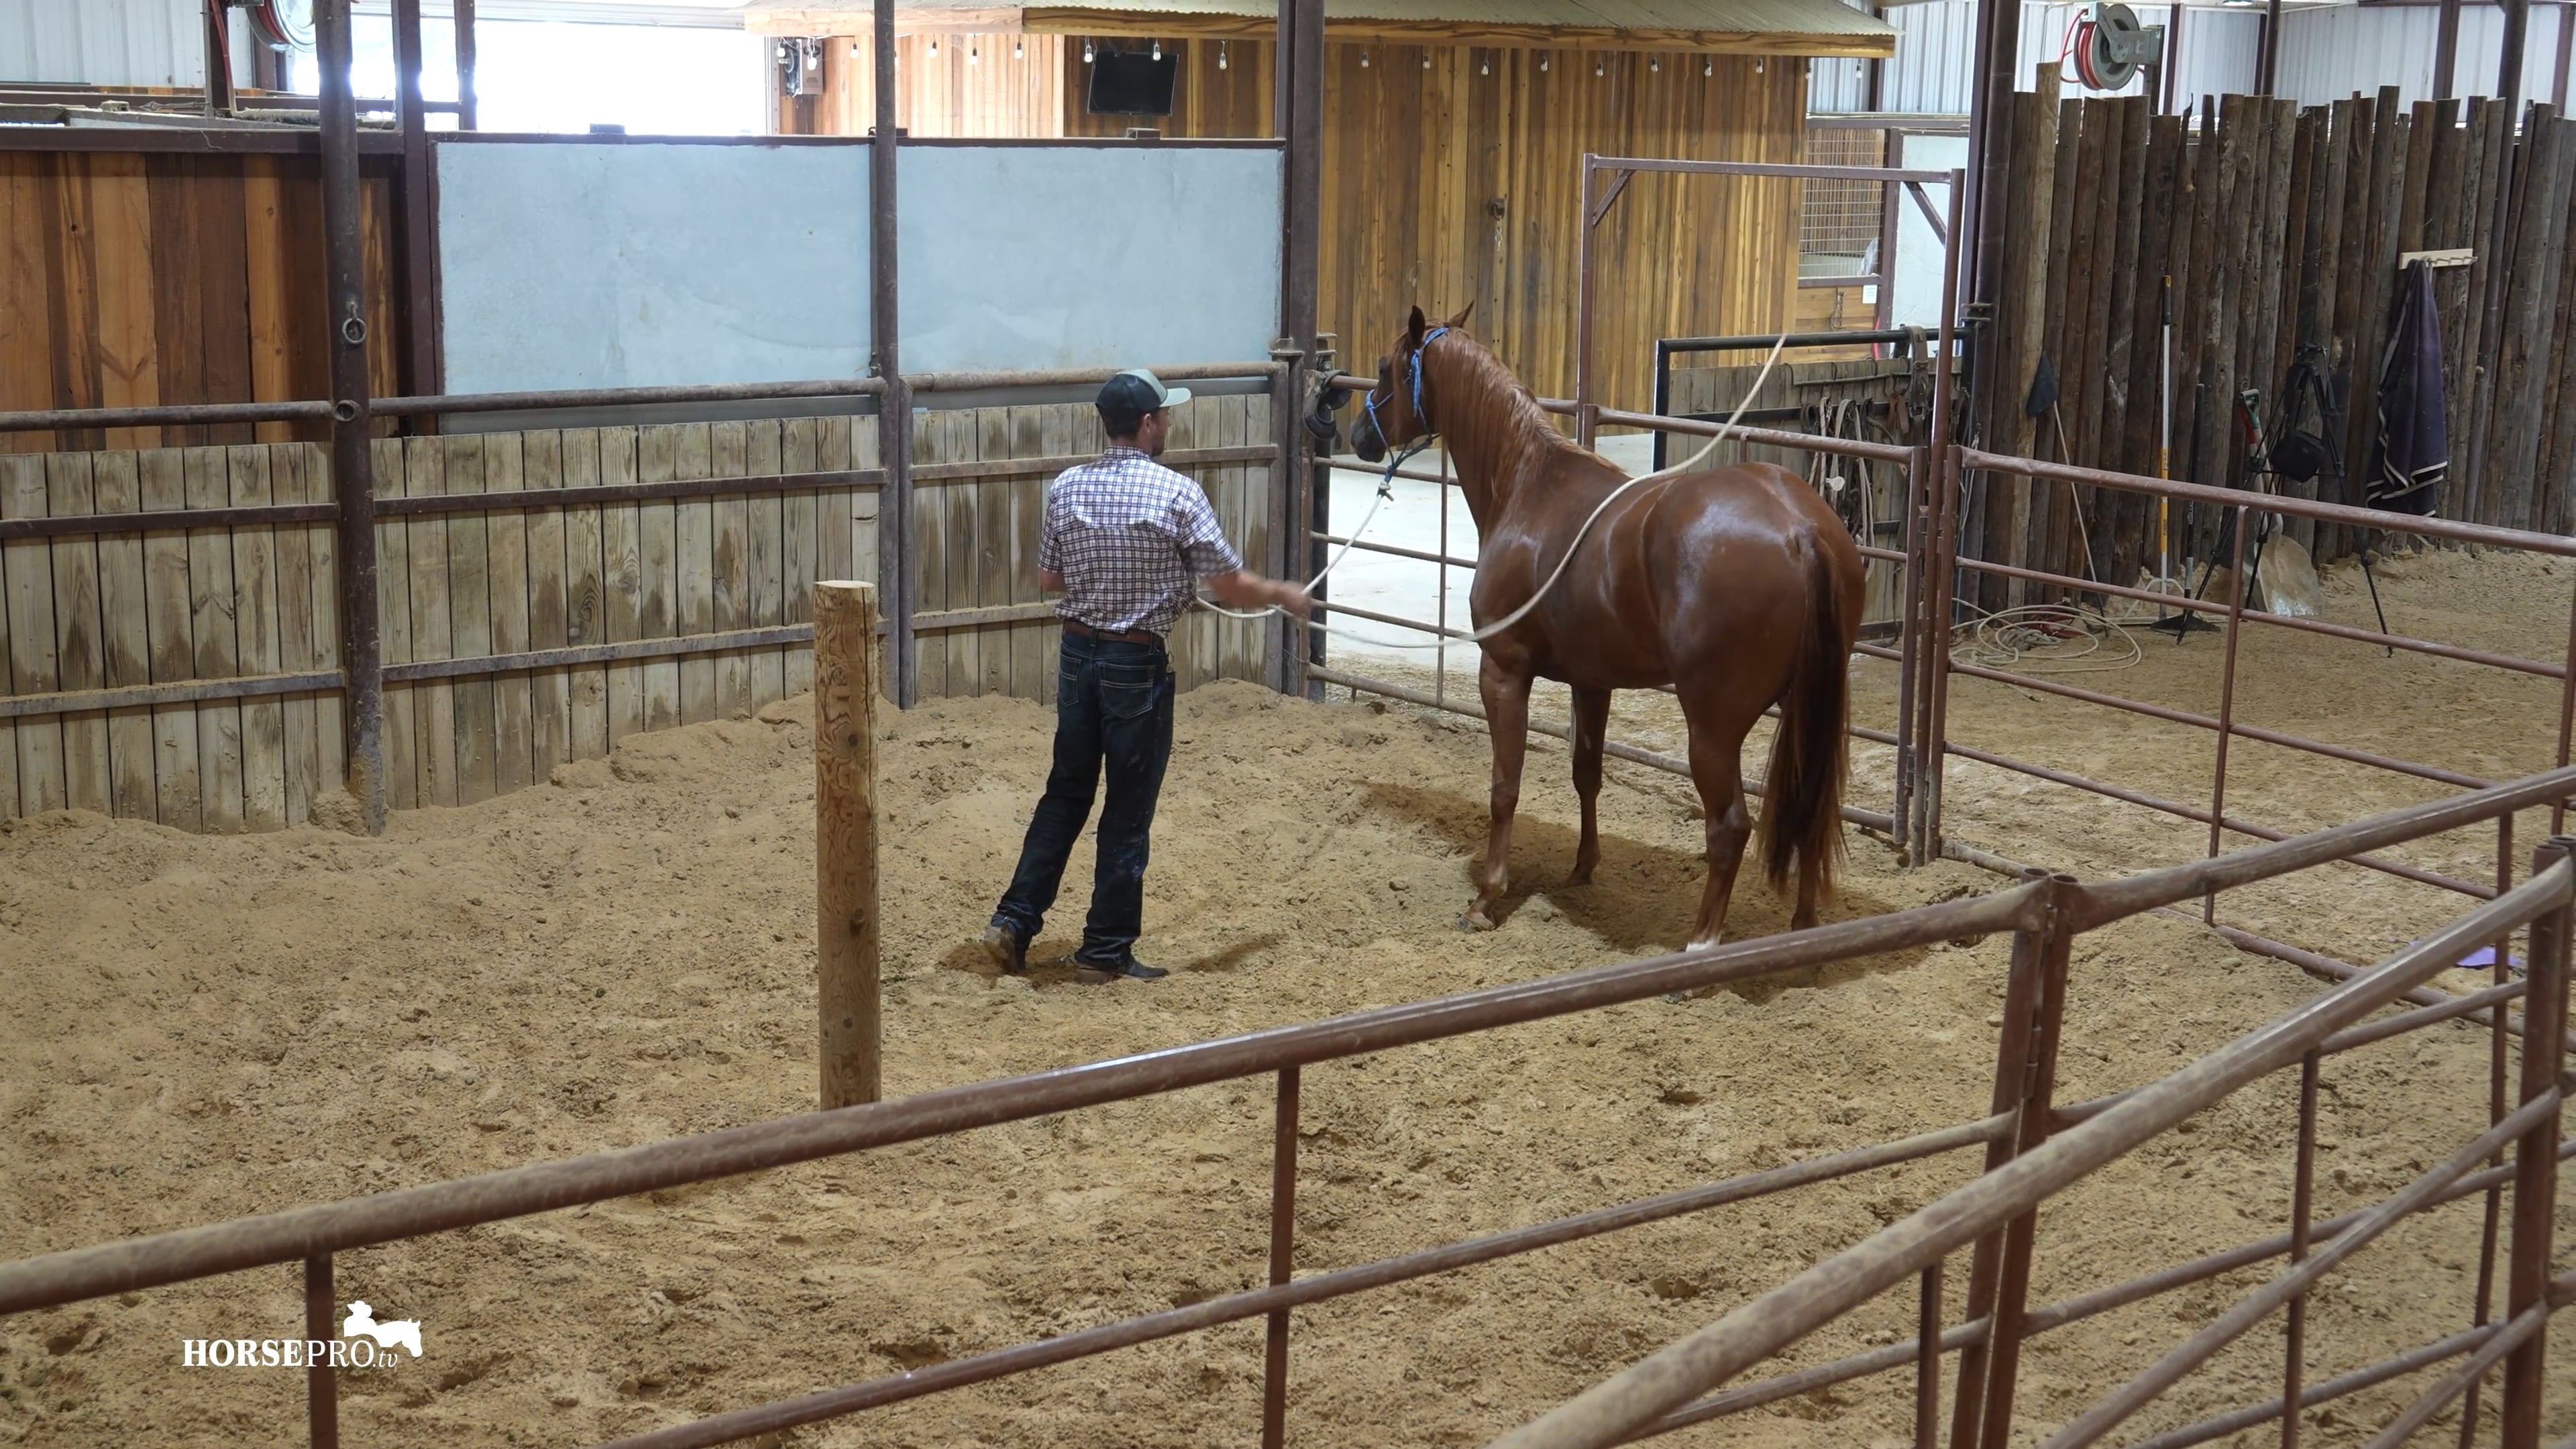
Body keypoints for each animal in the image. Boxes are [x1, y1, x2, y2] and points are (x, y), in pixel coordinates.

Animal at [1349, 305, 1866, 947]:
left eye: (1384, 367)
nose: (1357, 435)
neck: (1528, 486)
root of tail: (1801, 529)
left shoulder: (1504, 672)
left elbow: (1504, 787)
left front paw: (1486, 898)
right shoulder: (1592, 683)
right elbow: (1586, 774)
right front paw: (1583, 867)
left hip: (1713, 728)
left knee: (1728, 827)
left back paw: (1700, 946)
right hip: (1808, 710)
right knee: (1809, 810)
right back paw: (1803, 932)